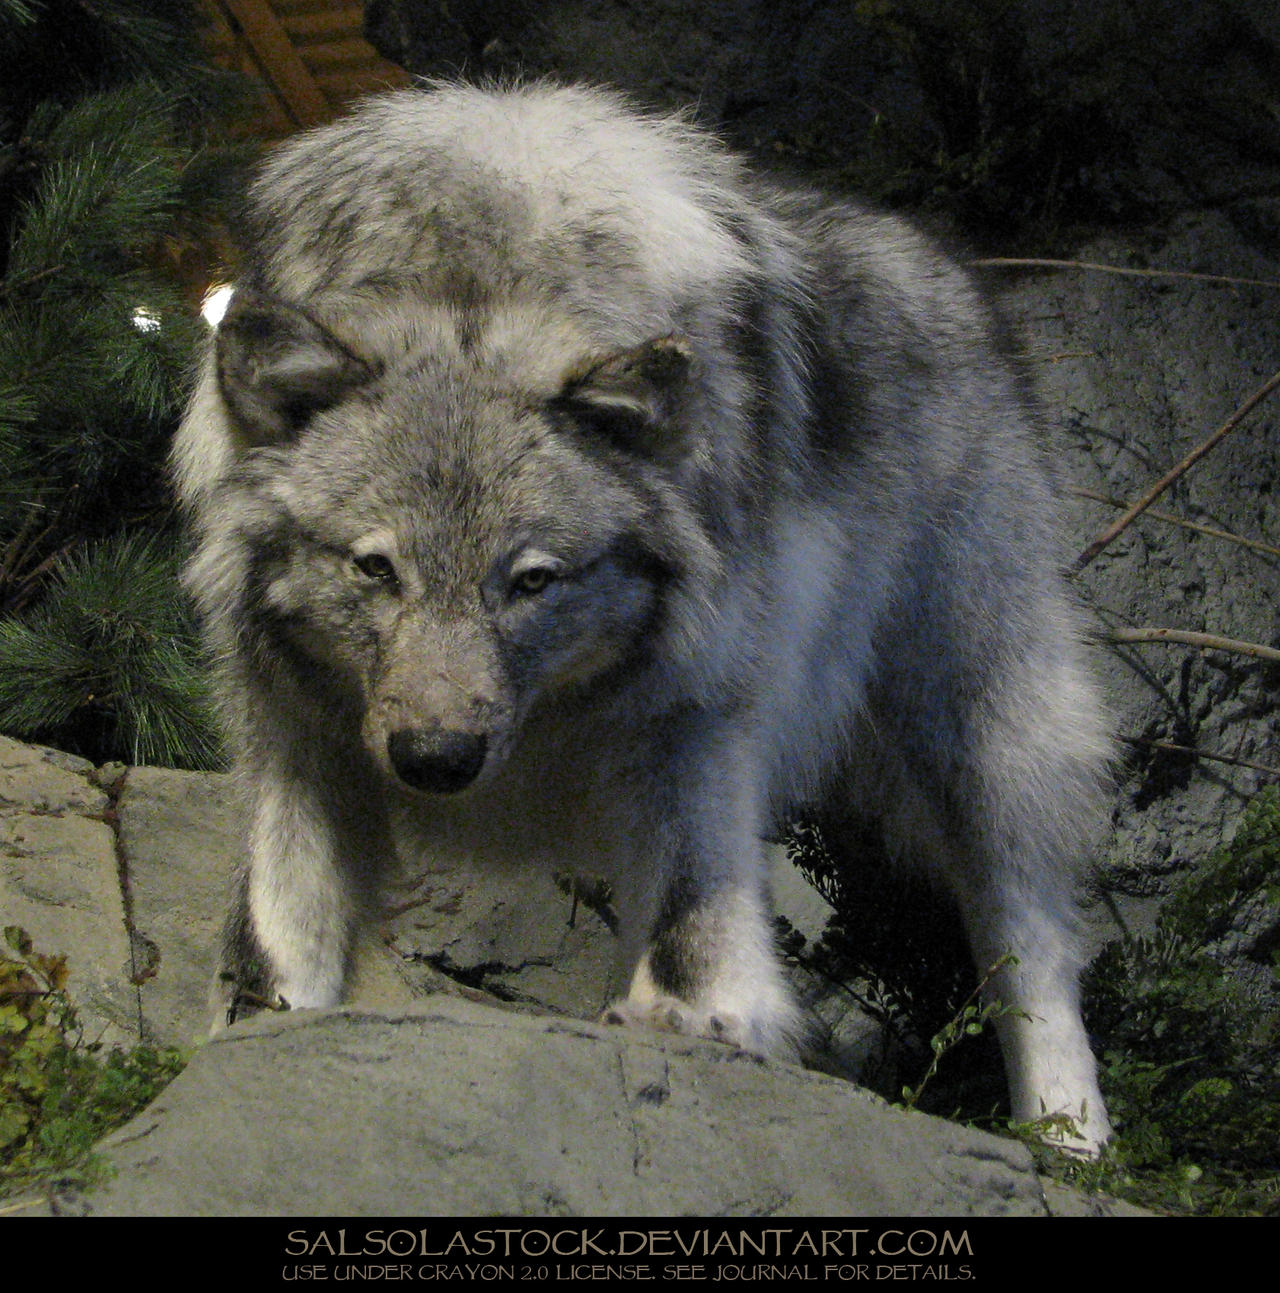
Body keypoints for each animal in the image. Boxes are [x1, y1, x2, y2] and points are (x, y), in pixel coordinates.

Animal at [173, 82, 1113, 1151]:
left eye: (531, 581)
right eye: (375, 569)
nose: (437, 760)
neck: (476, 285)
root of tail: (962, 277)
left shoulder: (695, 718)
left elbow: (695, 913)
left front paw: (692, 1023)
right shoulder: (295, 731)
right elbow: (274, 932)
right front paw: (259, 1029)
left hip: (976, 733)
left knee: (1032, 942)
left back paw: (1069, 1140)